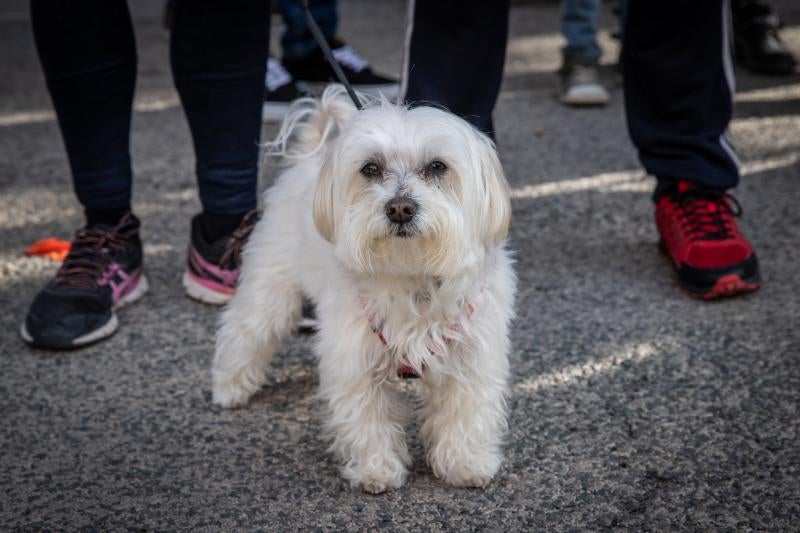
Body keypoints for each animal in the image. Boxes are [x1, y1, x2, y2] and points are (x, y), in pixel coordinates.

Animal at [209, 86, 516, 490]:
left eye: (437, 167)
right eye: (370, 169)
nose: (400, 207)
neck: (411, 273)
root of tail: (310, 159)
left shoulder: (473, 359)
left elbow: (466, 416)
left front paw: (466, 464)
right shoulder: (355, 359)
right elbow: (368, 420)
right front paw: (377, 470)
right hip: (271, 285)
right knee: (244, 329)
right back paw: (229, 387)